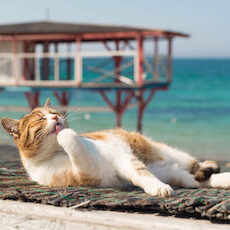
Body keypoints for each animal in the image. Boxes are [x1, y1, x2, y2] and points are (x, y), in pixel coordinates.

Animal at [1, 98, 230, 197]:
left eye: (55, 112)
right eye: (40, 118)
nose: (57, 118)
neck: (56, 154)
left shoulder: (122, 158)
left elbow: (140, 174)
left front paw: (156, 187)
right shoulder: (86, 172)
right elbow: (73, 144)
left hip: (173, 154)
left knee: (198, 168)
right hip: (177, 174)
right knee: (198, 181)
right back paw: (223, 180)